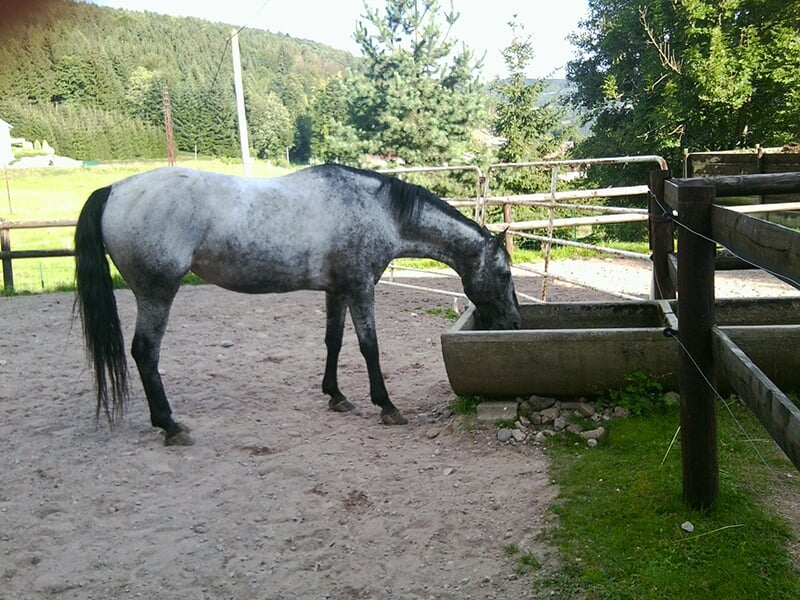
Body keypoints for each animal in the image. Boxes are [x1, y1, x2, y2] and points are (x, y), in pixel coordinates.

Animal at [74, 164, 521, 445]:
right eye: (504, 274)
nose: (515, 324)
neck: (377, 211)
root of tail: (114, 190)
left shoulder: (336, 291)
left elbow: (333, 342)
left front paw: (336, 396)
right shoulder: (361, 288)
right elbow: (370, 347)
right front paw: (387, 405)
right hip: (157, 292)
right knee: (145, 352)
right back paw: (169, 425)